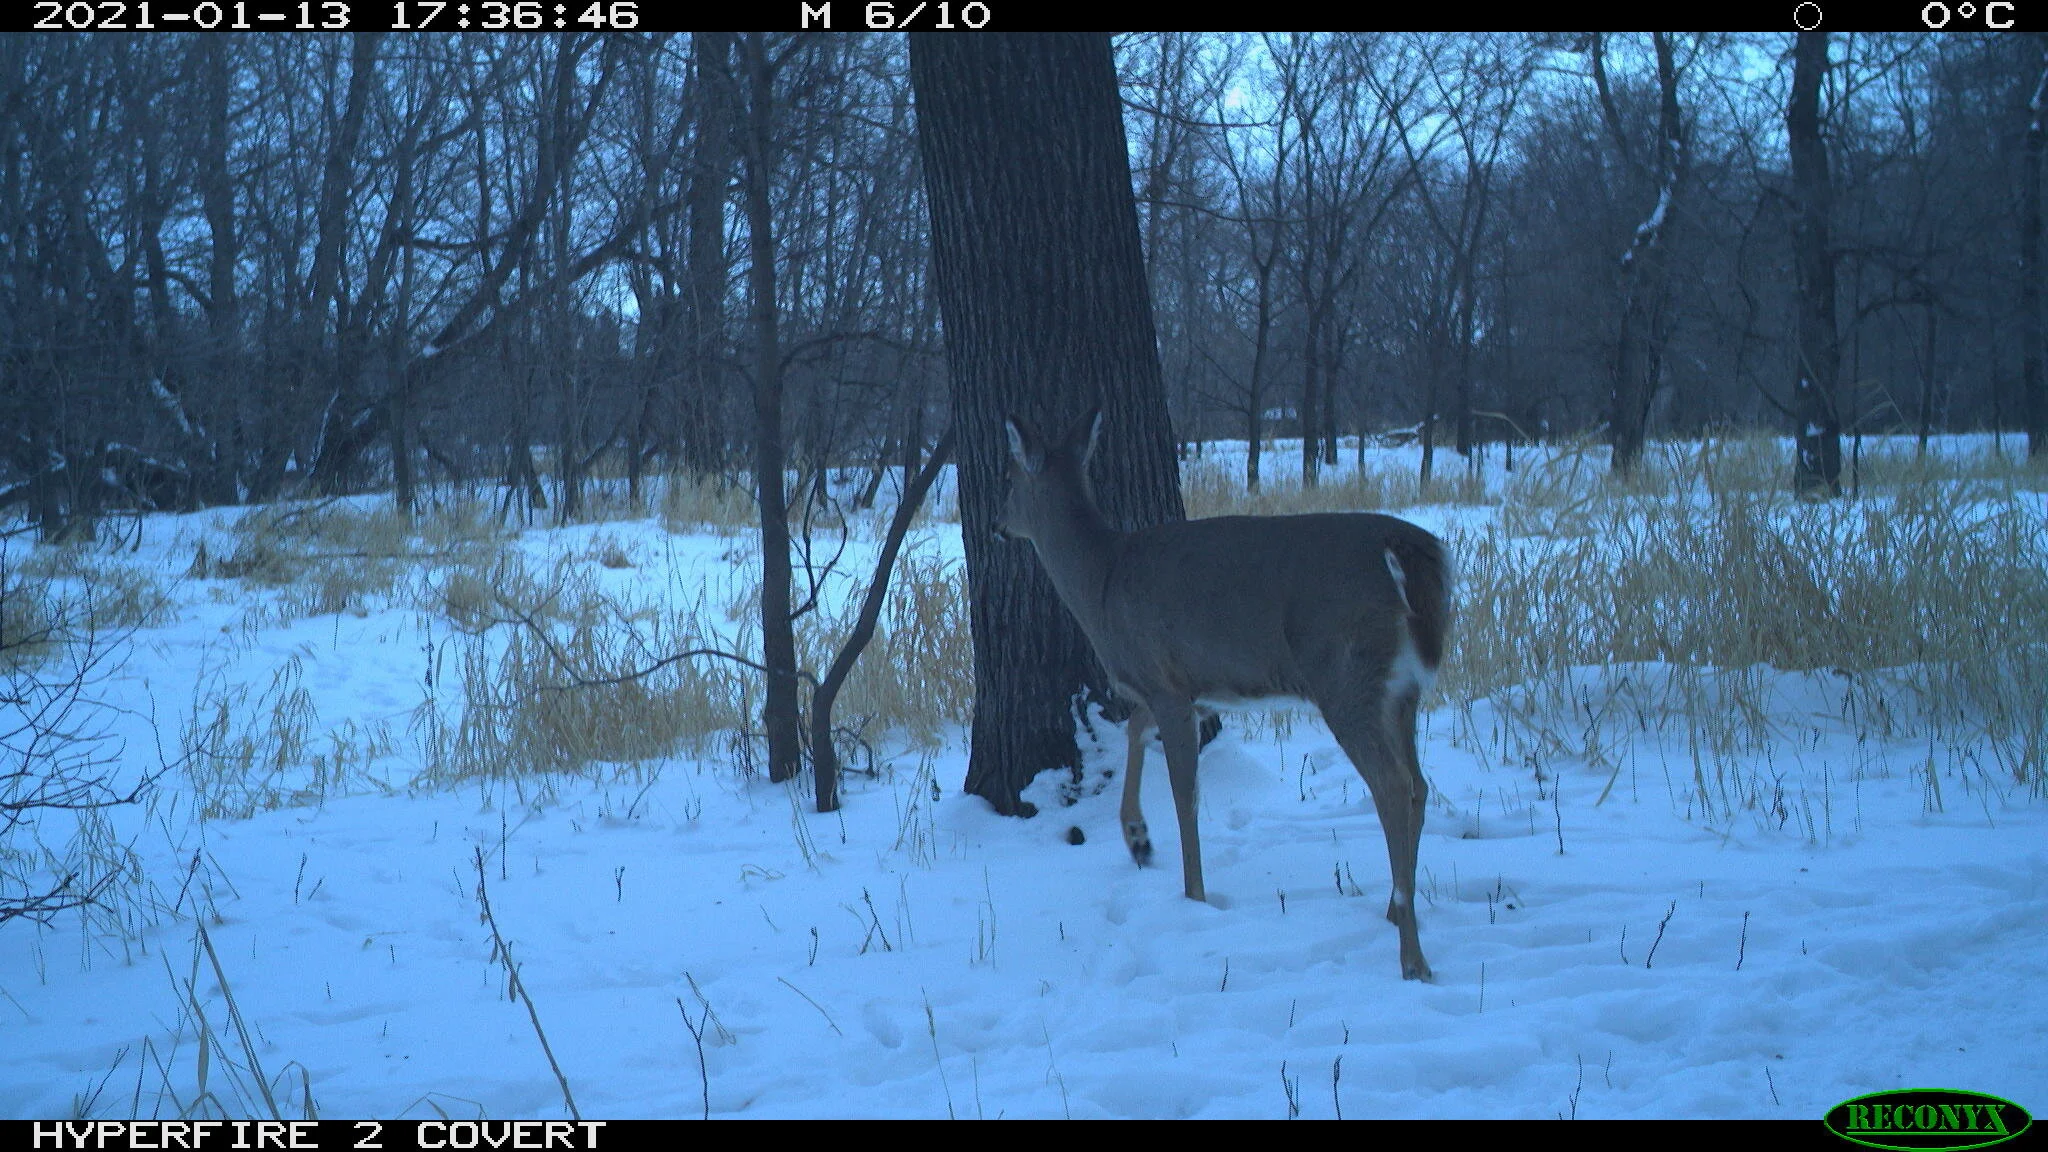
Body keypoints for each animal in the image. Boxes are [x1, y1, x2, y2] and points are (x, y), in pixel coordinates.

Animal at [995, 409, 1451, 981]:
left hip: (1347, 676)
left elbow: (1184, 792)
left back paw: (1412, 957)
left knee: (1391, 785)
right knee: (1419, 784)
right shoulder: (1185, 686)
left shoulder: (1165, 683)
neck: (1101, 582)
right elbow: (1134, 729)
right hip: (1403, 690)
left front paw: (1193, 895)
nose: (997, 524)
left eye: (1010, 481)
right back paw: (1395, 909)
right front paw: (1137, 839)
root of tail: (1408, 552)